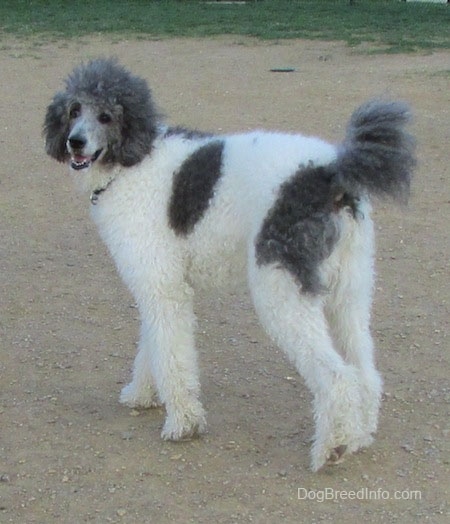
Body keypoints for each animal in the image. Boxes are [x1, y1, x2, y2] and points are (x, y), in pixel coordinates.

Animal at [44, 57, 416, 470]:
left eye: (106, 115)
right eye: (74, 110)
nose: (75, 141)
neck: (133, 161)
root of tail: (330, 173)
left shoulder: (162, 286)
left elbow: (171, 354)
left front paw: (184, 423)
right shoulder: (158, 286)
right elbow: (152, 346)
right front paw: (141, 394)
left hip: (283, 292)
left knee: (337, 376)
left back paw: (331, 448)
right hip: (349, 290)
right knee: (365, 372)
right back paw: (359, 436)